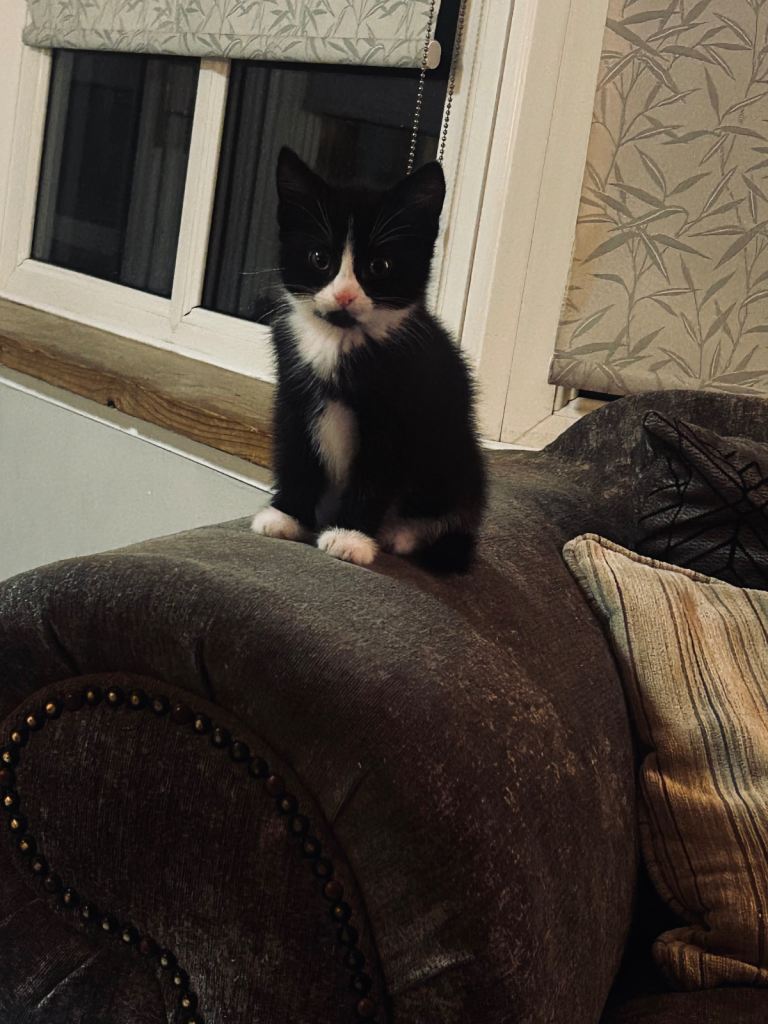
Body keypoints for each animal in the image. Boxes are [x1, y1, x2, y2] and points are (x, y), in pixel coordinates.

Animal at [251, 146, 486, 572]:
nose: (344, 295)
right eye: (319, 258)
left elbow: (375, 475)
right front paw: (287, 515)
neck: (340, 338)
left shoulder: (400, 412)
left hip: (456, 456)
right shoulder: (292, 394)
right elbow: (296, 451)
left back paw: (402, 533)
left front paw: (351, 536)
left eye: (379, 266)